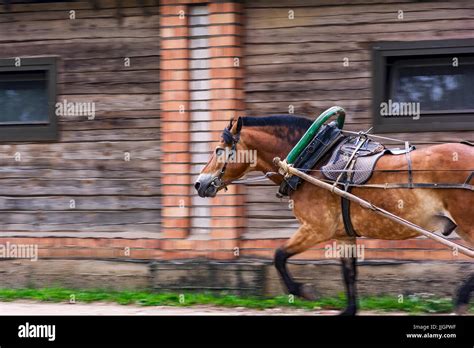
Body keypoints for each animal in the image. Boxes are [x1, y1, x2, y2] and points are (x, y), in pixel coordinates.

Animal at [194, 115, 472, 316]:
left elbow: (279, 256)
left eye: (219, 150)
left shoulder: (316, 229)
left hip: (468, 225)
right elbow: (349, 274)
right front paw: (348, 310)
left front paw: (303, 291)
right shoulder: (343, 235)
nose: (199, 183)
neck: (313, 159)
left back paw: (460, 299)